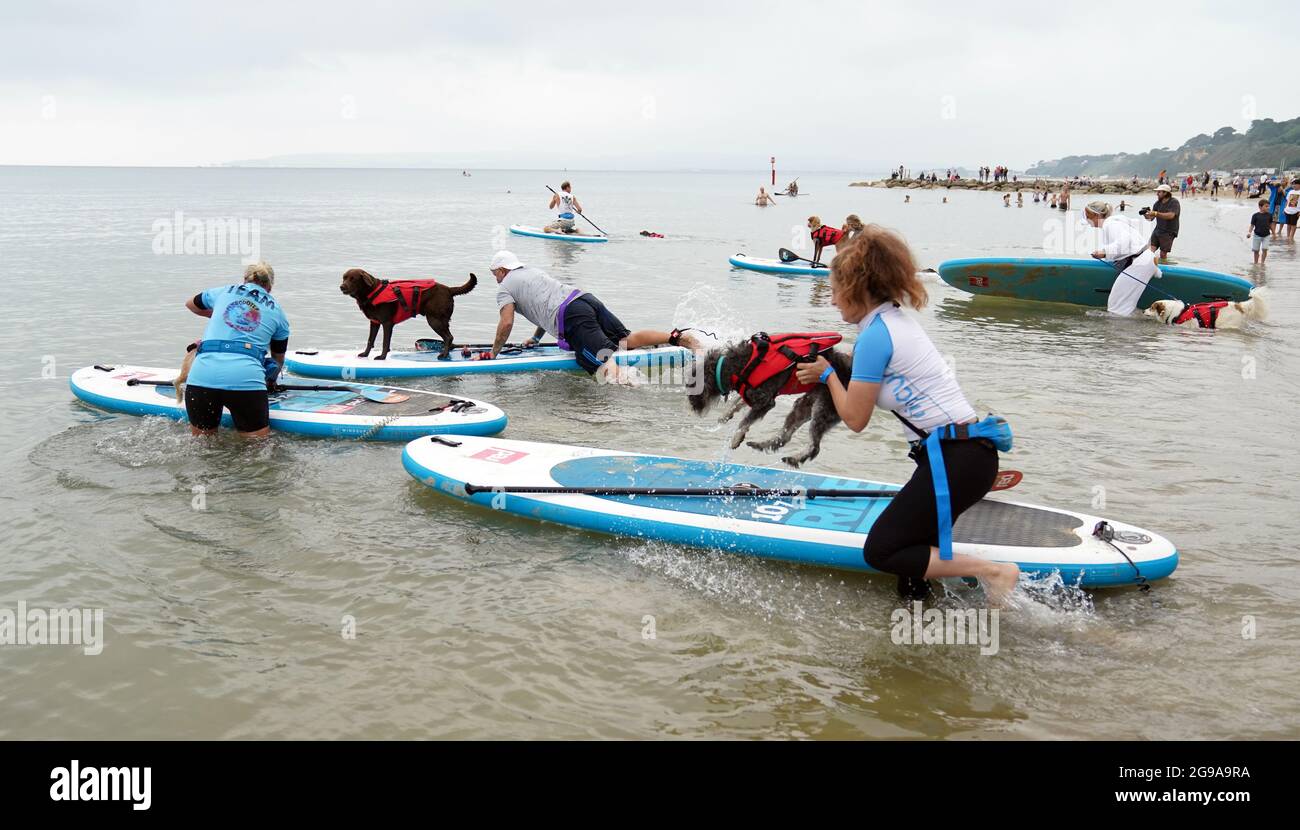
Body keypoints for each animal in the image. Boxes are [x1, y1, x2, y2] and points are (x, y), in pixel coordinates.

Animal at [686, 338, 857, 468]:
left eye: (692, 386)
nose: (691, 407)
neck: (740, 365)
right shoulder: (751, 394)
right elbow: (736, 403)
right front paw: (724, 417)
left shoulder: (765, 402)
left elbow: (744, 422)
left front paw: (735, 439)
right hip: (803, 405)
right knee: (784, 437)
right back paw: (761, 445)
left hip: (824, 409)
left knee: (814, 447)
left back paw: (793, 459)